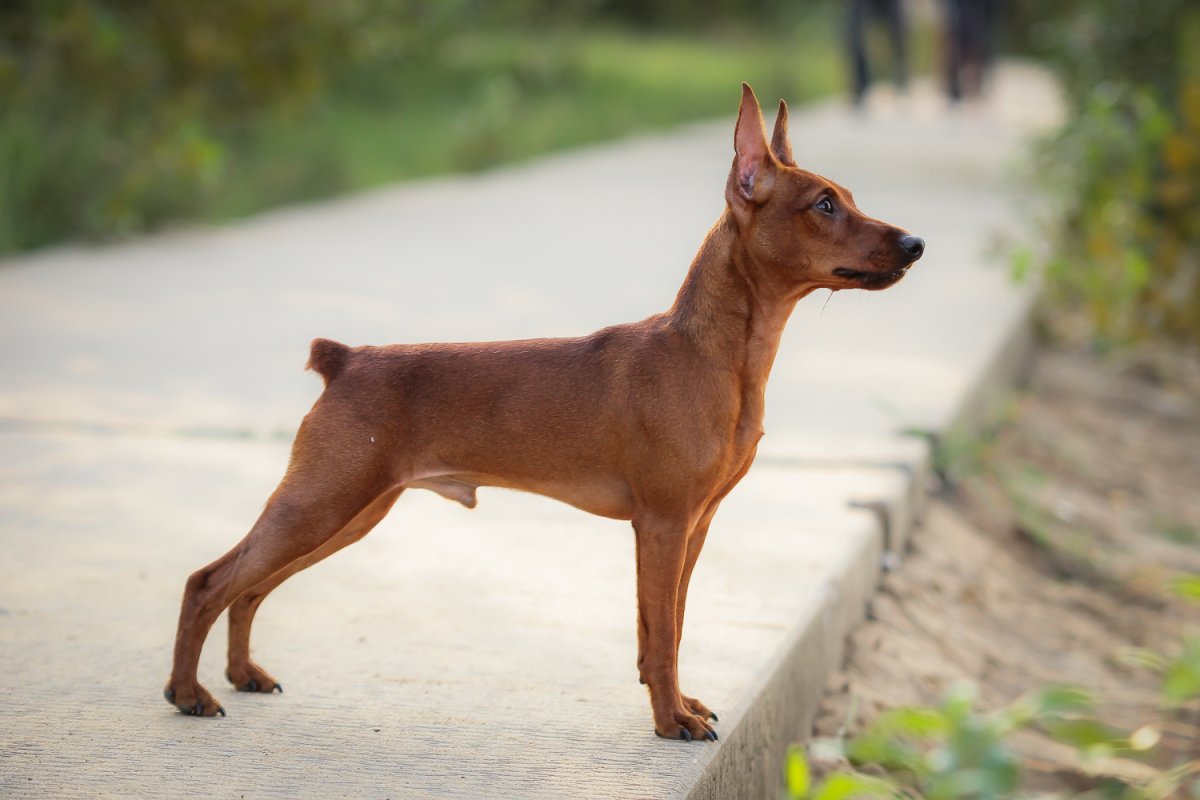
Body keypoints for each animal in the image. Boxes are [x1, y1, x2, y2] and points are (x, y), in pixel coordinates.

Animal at [164, 84, 921, 743]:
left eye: (847, 199)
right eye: (824, 205)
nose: (916, 244)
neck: (712, 355)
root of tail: (345, 359)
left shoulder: (695, 526)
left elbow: (665, 628)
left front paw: (677, 703)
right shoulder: (663, 524)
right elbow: (663, 634)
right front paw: (670, 722)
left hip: (351, 512)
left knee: (249, 588)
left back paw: (241, 675)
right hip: (324, 500)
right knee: (210, 581)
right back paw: (188, 693)